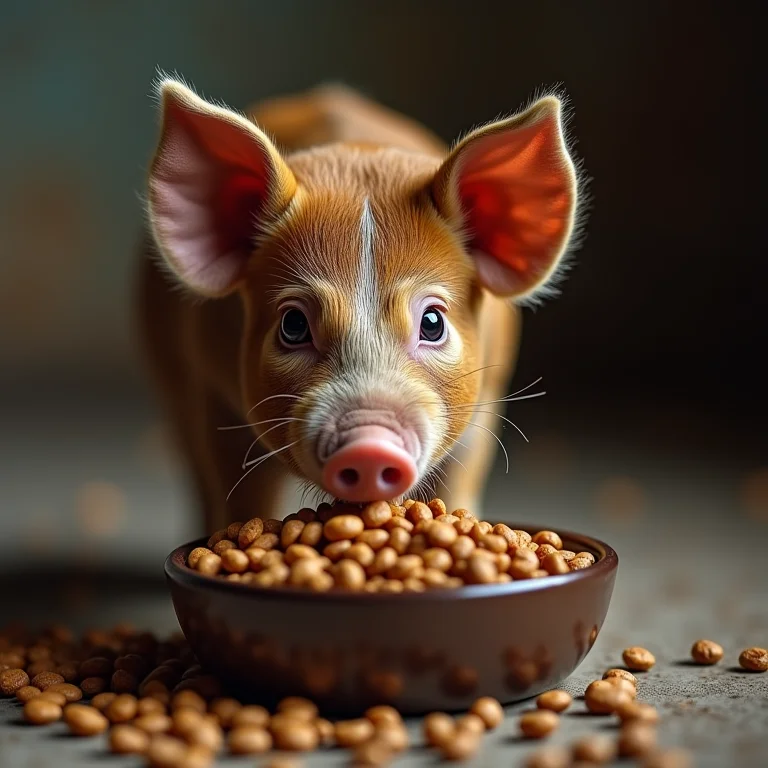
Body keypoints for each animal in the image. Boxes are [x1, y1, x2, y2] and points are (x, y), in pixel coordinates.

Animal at [138, 78, 581, 534]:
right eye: (293, 324)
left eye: (433, 322)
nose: (369, 447)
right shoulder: (214, 392)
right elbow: (242, 491)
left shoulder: (487, 403)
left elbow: (457, 484)